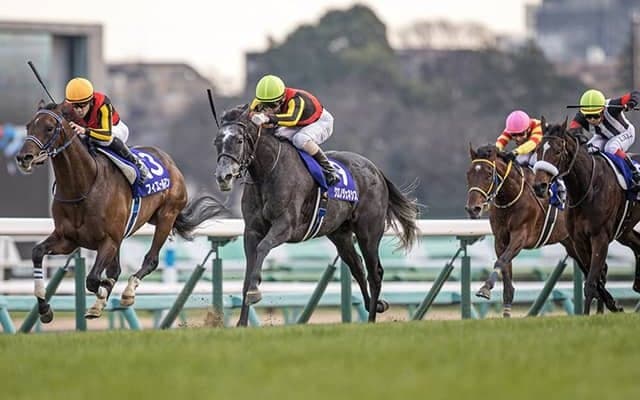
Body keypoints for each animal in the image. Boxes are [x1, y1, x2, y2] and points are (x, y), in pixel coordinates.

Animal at [15, 102, 226, 323]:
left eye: (49, 128)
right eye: (28, 126)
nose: (24, 158)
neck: (83, 186)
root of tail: (169, 161)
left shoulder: (108, 240)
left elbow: (93, 279)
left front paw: (102, 296)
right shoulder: (68, 239)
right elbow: (37, 252)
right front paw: (44, 308)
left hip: (166, 216)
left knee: (151, 260)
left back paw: (128, 292)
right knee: (116, 269)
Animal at [213, 104, 419, 325]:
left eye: (239, 140)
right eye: (217, 142)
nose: (223, 177)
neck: (268, 173)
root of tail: (376, 171)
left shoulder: (285, 226)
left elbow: (263, 248)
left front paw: (254, 292)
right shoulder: (252, 231)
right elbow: (248, 272)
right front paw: (242, 322)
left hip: (369, 232)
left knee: (375, 273)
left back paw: (371, 319)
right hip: (340, 235)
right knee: (357, 268)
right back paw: (373, 306)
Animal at [465, 144, 619, 316]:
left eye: (488, 174)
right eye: (469, 174)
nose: (473, 208)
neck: (511, 198)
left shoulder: (521, 235)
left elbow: (501, 261)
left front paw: (485, 288)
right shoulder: (500, 240)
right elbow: (506, 280)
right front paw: (505, 314)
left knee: (599, 269)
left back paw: (603, 308)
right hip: (572, 244)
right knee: (597, 269)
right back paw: (606, 305)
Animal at [532, 118, 640, 314]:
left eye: (558, 151)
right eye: (538, 150)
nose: (539, 186)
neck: (586, 189)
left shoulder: (600, 237)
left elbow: (591, 283)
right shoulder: (579, 240)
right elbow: (596, 280)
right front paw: (612, 305)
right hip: (625, 230)